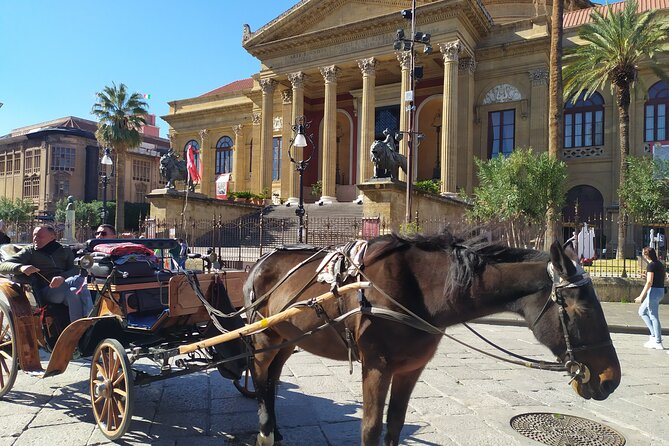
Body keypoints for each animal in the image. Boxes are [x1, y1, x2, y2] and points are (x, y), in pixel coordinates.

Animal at [241, 233, 620, 446]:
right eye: (582, 310)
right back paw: (265, 431)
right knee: (260, 378)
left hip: (287, 339)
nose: (611, 379)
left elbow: (395, 425)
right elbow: (371, 429)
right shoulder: (376, 366)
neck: (422, 291)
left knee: (273, 380)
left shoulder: (411, 369)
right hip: (263, 337)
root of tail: (260, 260)